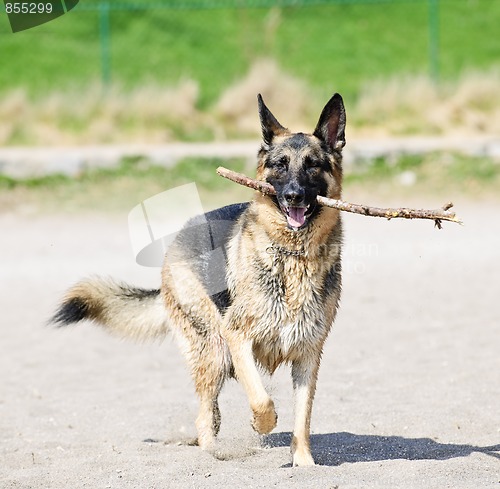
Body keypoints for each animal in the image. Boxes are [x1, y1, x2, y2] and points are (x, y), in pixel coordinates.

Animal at [52, 94, 346, 466]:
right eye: (280, 164)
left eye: (312, 165)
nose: (293, 195)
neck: (293, 256)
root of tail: (177, 238)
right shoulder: (237, 337)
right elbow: (261, 399)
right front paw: (261, 423)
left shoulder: (308, 356)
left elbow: (302, 418)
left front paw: (304, 461)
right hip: (214, 350)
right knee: (205, 414)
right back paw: (213, 450)